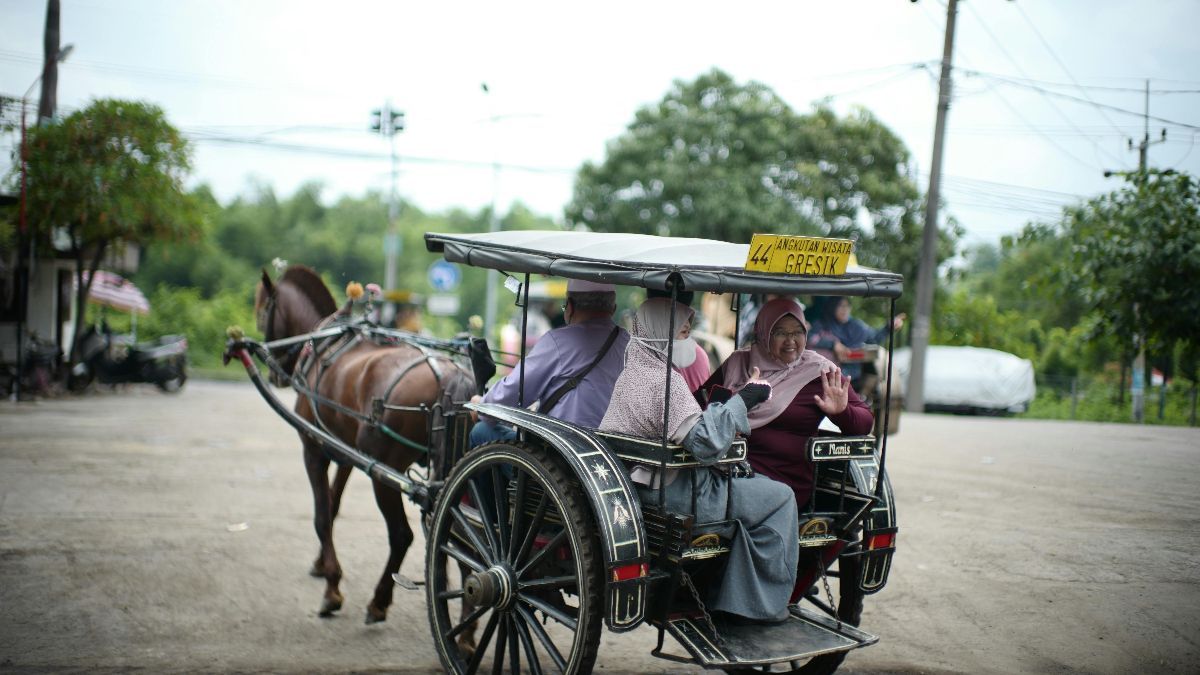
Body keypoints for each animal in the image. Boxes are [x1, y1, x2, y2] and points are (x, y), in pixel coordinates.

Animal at [254, 261, 477, 624]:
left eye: (261, 312)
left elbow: (321, 514)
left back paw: (380, 601)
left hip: (384, 474)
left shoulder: (313, 448)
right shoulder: (344, 452)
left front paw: (332, 589)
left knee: (402, 535)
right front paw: (321, 565)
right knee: (463, 542)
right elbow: (333, 505)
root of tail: (452, 375)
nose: (276, 373)